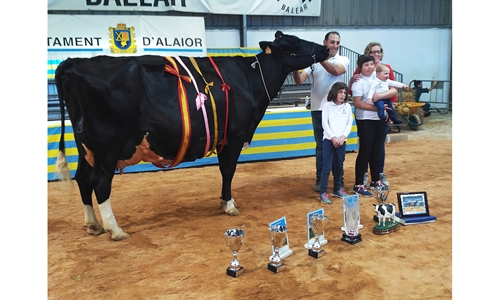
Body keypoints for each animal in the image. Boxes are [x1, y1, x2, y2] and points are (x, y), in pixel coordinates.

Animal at [54, 31, 330, 241]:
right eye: (295, 42)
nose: (326, 48)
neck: (249, 79)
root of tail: (72, 63)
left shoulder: (224, 138)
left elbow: (223, 170)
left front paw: (223, 201)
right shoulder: (235, 135)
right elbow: (228, 170)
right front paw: (230, 205)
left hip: (86, 146)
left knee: (82, 179)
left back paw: (93, 225)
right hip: (107, 146)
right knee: (100, 183)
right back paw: (115, 229)